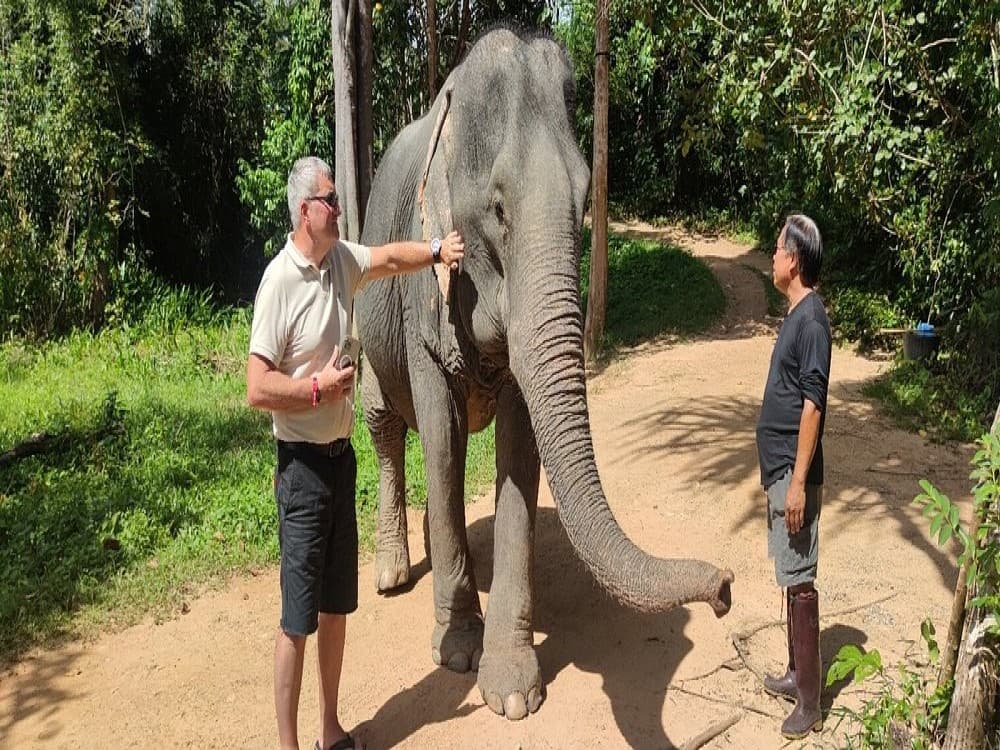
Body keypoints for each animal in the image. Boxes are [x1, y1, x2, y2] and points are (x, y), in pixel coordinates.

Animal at [355, 28, 734, 720]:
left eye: (586, 202)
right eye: (498, 209)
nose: (725, 587)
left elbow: (519, 444)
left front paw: (511, 691)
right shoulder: (420, 305)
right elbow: (443, 442)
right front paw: (456, 653)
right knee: (386, 426)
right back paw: (393, 573)